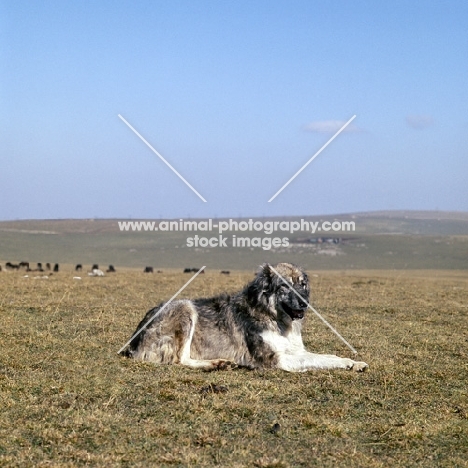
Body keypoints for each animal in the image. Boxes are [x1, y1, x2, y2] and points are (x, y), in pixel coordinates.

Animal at [121, 264, 370, 372]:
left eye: (302, 284)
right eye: (284, 286)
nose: (304, 303)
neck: (275, 319)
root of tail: (132, 342)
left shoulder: (295, 350)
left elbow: (326, 356)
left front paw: (353, 362)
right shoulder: (276, 359)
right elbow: (316, 361)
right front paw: (347, 364)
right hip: (184, 307)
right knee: (180, 360)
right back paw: (216, 364)